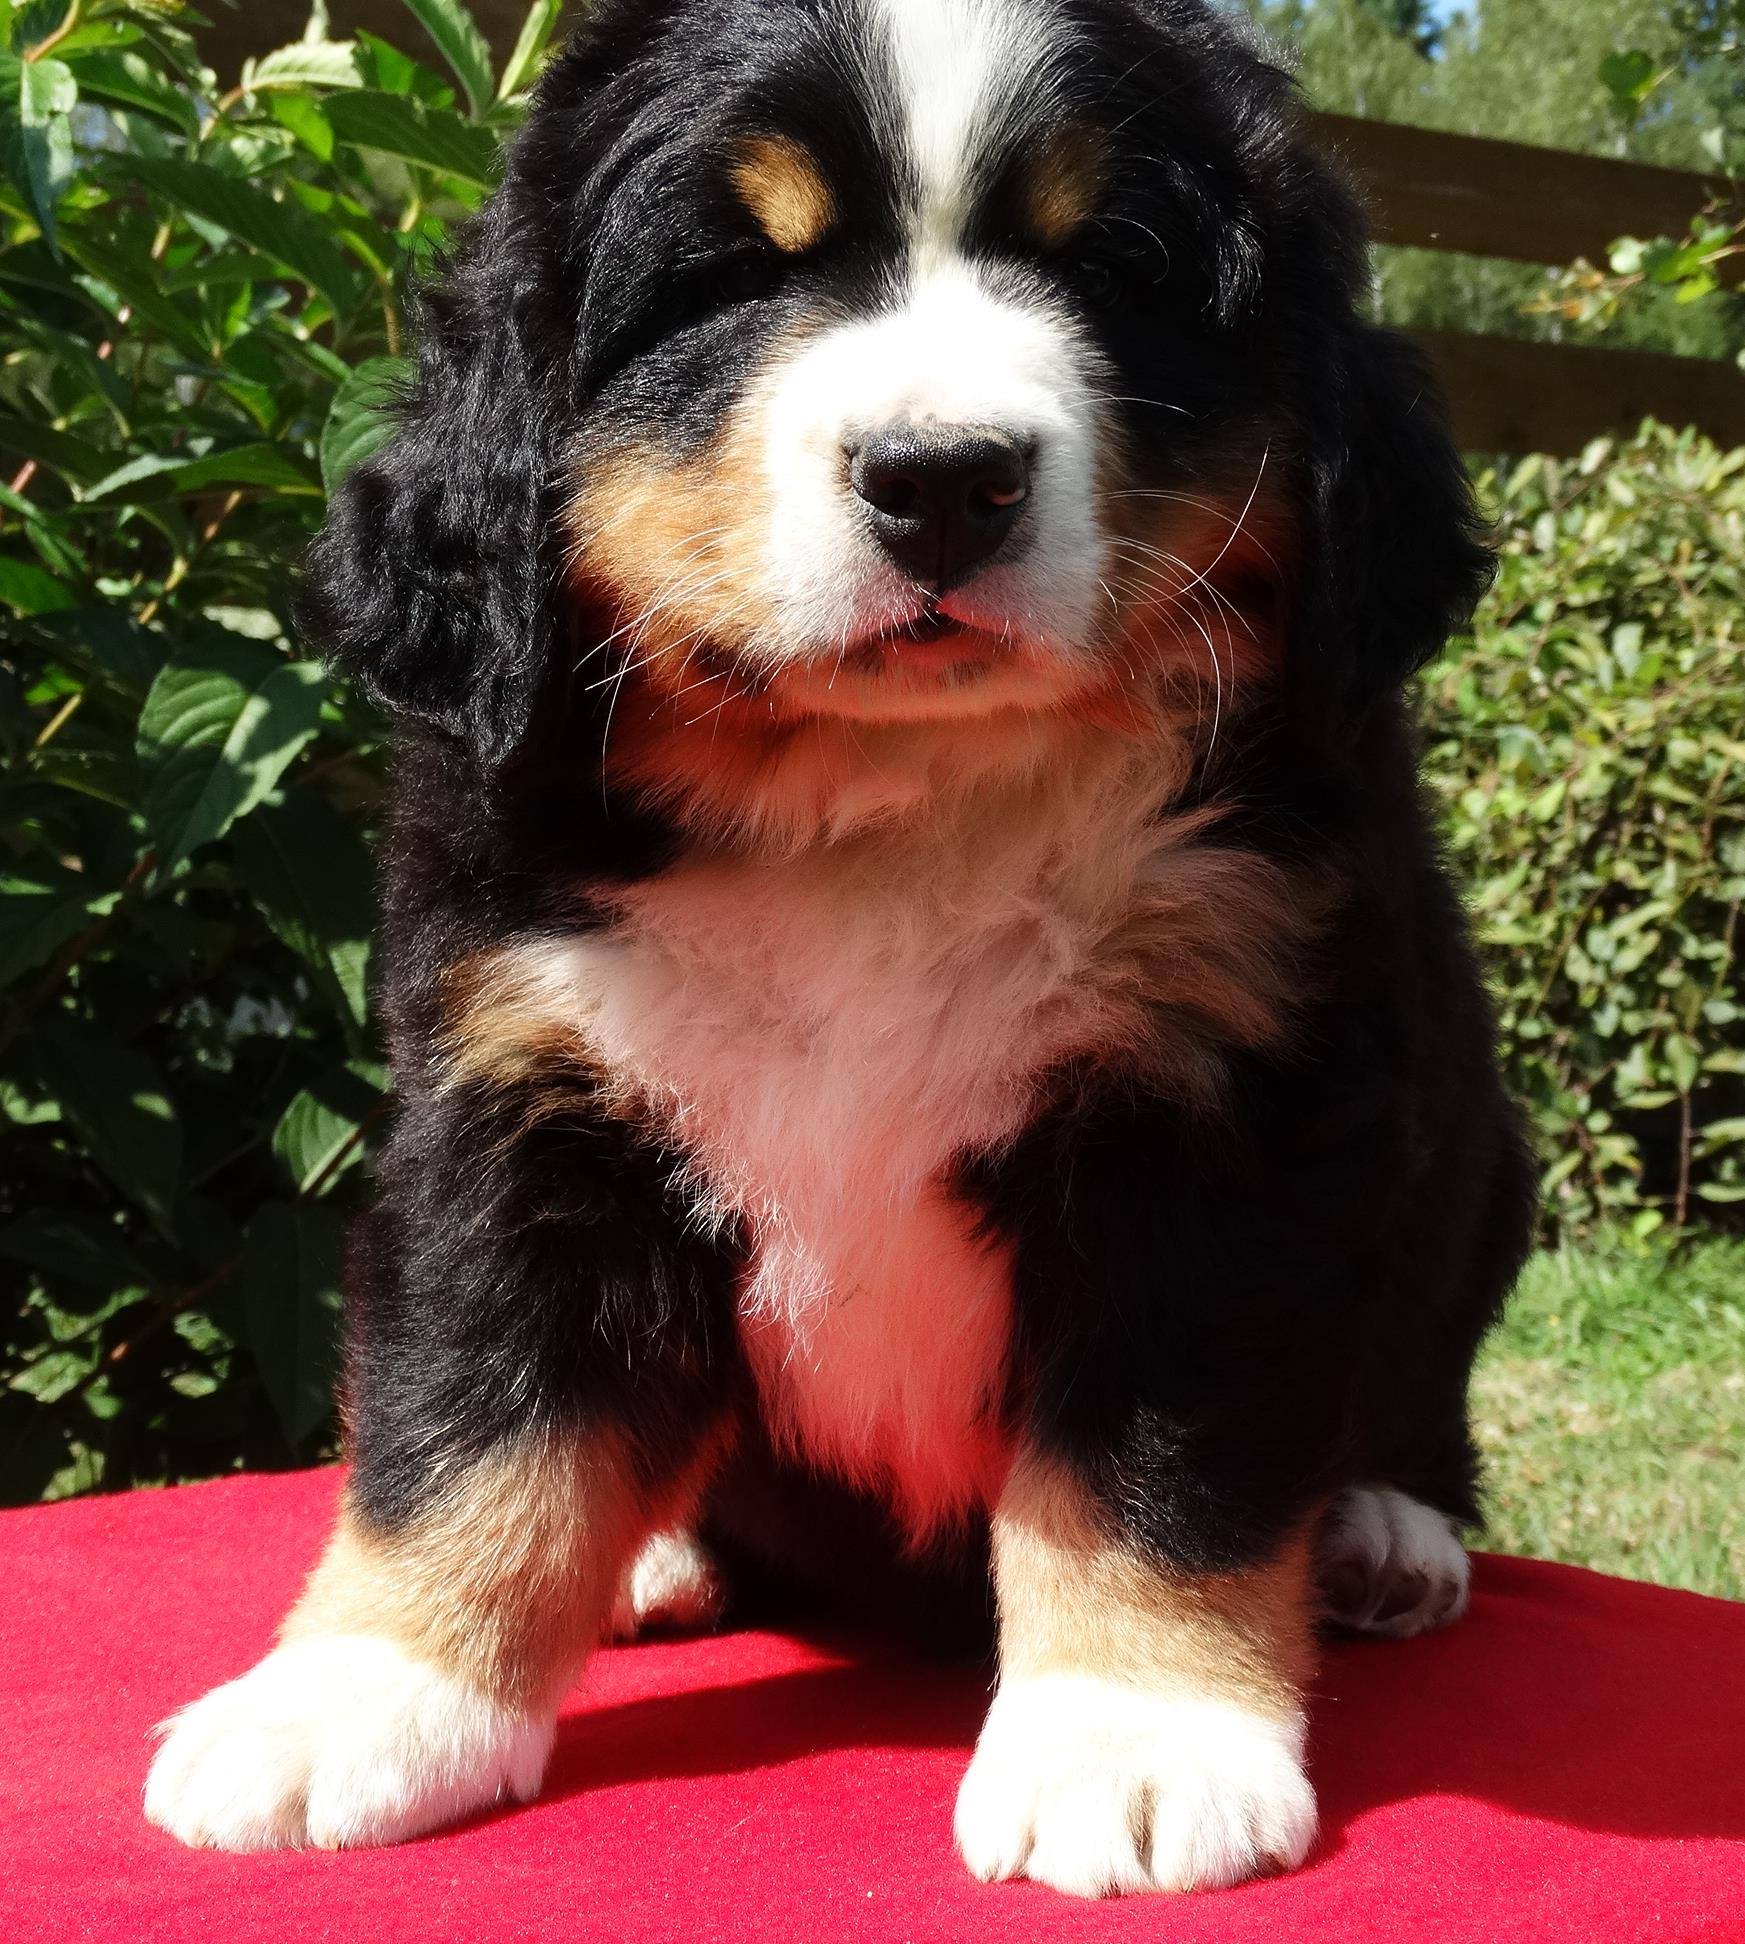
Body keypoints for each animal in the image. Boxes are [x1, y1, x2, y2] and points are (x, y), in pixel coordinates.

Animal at [144, 0, 1535, 1896]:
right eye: (735, 274)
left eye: (1113, 266)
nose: (945, 479)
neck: (889, 798)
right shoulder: (520, 1095)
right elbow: (473, 1422)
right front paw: (361, 1696)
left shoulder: (1227, 1105)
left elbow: (1158, 1448)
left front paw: (1135, 1737)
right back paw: (657, 1553)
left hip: (1477, 1163)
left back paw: (1384, 1532)